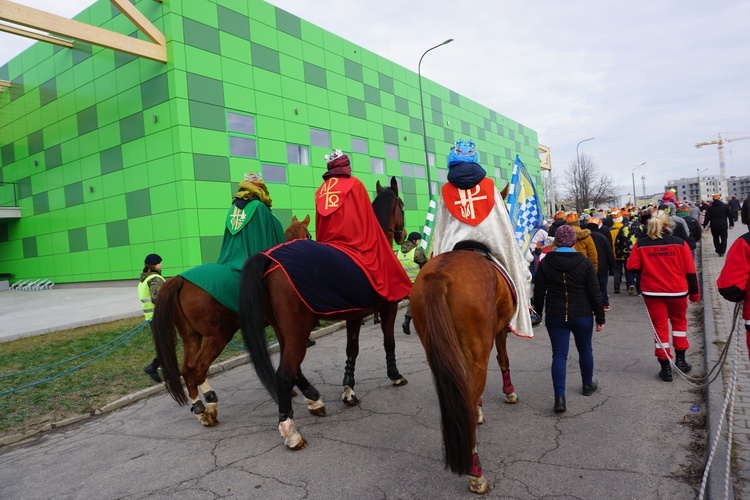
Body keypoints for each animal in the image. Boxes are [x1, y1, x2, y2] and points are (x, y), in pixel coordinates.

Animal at [153, 215, 312, 426]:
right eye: (309, 235)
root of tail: (179, 279)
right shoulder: (282, 325)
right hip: (218, 335)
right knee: (198, 367)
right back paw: (211, 405)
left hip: (191, 337)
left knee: (187, 369)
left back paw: (201, 410)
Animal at [239, 179, 406, 450]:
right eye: (401, 204)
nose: (403, 235)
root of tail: (268, 259)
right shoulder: (388, 306)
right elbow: (388, 342)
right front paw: (395, 375)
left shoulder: (354, 315)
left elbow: (352, 349)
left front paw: (348, 389)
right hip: (298, 330)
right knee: (284, 374)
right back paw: (291, 431)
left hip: (285, 331)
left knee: (294, 369)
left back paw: (314, 399)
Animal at [408, 248, 520, 494]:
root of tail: (440, 274)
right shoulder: (501, 331)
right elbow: (503, 359)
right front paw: (509, 393)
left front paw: (480, 410)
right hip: (478, 351)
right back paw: (476, 474)